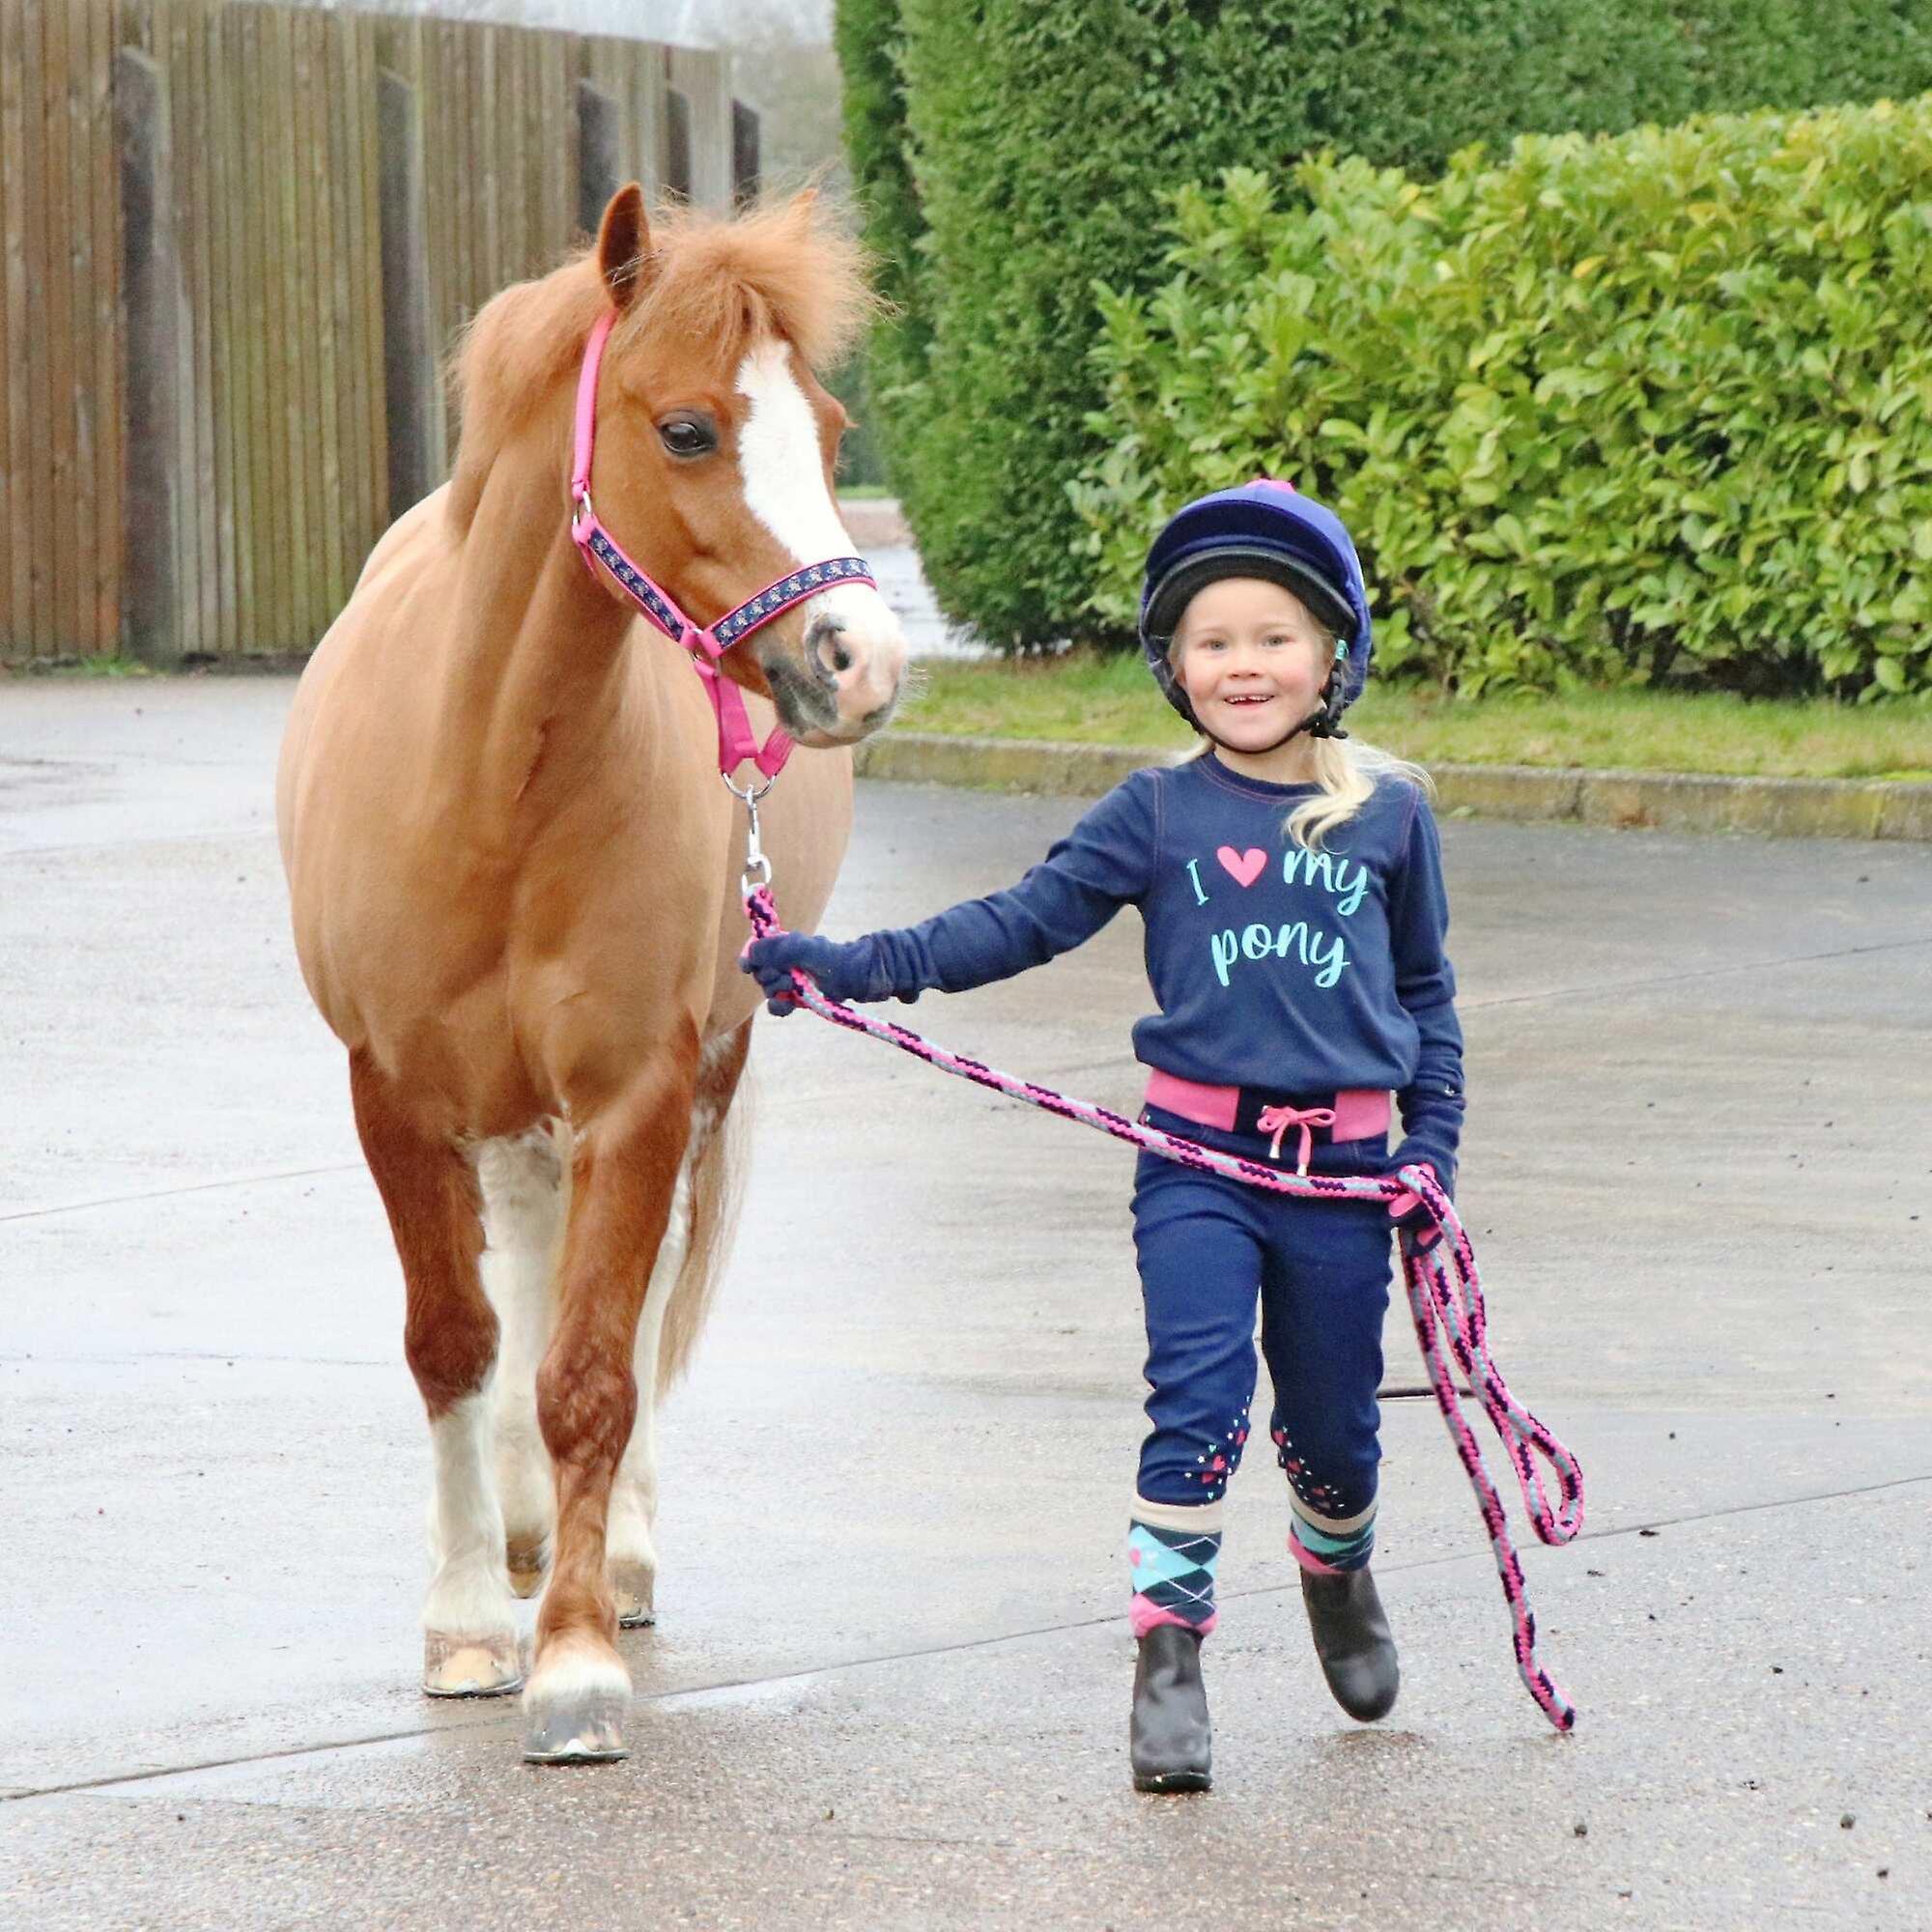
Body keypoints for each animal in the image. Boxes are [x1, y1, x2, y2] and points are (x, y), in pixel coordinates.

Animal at [276, 188, 908, 1762]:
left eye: (826, 422)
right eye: (686, 429)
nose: (863, 664)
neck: (490, 784)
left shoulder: (639, 1092)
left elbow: (594, 1370)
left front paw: (570, 1658)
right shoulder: (394, 1097)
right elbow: (453, 1342)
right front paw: (461, 1626)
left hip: (699, 1084)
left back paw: (606, 1552)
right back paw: (510, 1532)